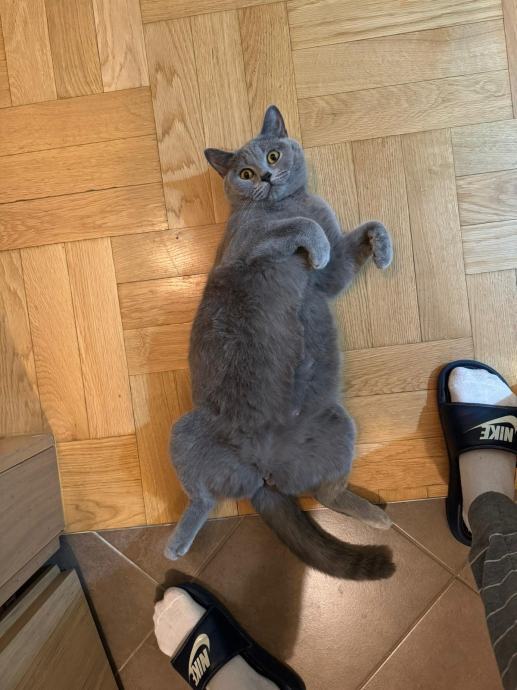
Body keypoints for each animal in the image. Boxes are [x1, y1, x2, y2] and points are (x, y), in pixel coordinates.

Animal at [165, 105, 395, 581]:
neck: (287, 202)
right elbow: (300, 227)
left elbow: (366, 229)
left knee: (326, 494)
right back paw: (176, 545)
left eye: (273, 154)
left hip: (337, 425)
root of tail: (264, 469)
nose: (267, 177)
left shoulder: (329, 280)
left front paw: (382, 249)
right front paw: (318, 245)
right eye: (245, 173)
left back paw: (377, 516)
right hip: (186, 430)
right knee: (202, 497)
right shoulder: (245, 251)